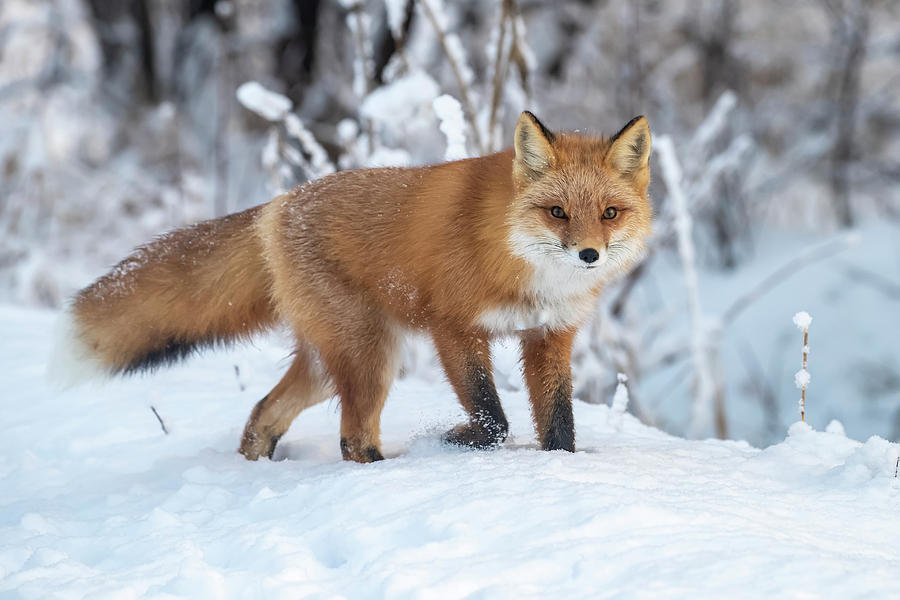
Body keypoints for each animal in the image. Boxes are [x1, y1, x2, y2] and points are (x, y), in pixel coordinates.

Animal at [51, 111, 652, 460]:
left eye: (609, 213)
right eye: (557, 212)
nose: (589, 254)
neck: (519, 260)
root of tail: (278, 206)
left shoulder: (549, 337)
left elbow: (559, 426)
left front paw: (558, 470)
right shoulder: (453, 327)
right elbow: (492, 419)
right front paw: (451, 441)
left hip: (331, 362)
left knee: (263, 414)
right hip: (371, 357)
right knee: (352, 439)